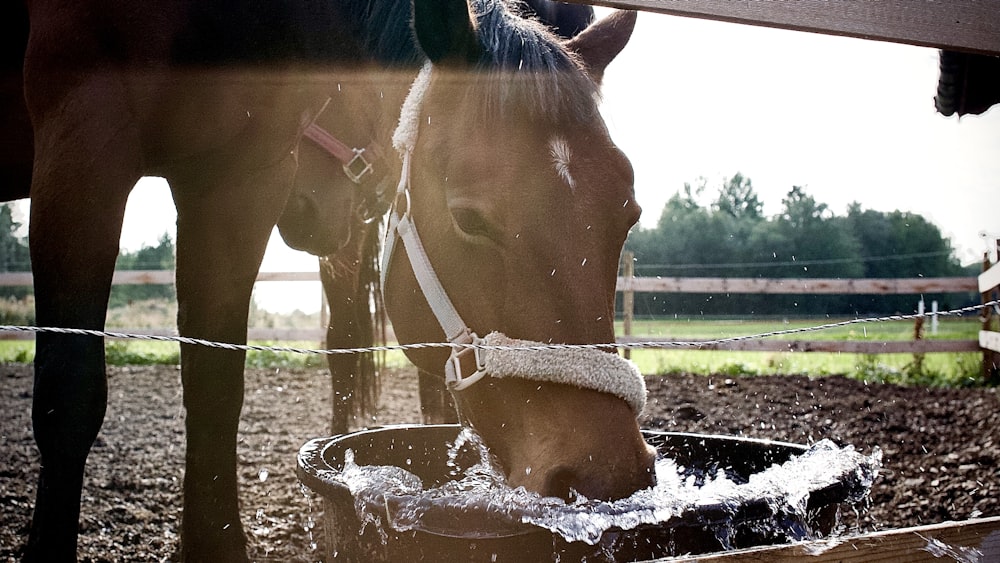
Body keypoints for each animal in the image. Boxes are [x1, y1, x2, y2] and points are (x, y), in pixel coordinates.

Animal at [7, 1, 652, 560]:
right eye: (469, 218)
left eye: (628, 213)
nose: (607, 473)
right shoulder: (85, 145)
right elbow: (69, 396)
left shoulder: (243, 181)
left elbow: (216, 388)